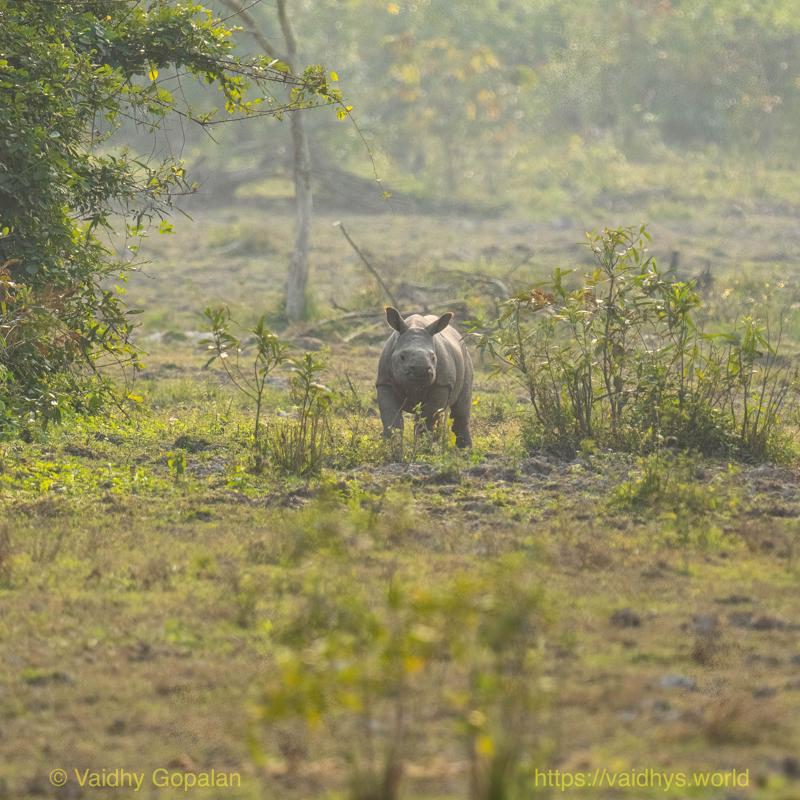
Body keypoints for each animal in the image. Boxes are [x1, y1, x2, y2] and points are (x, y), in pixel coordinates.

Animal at [376, 306, 473, 448]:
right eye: (402, 357)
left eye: (433, 357)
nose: (420, 370)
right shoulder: (385, 382)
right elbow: (392, 422)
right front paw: (390, 448)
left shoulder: (441, 384)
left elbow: (426, 421)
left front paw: (423, 449)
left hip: (465, 355)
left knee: (460, 410)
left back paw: (465, 450)